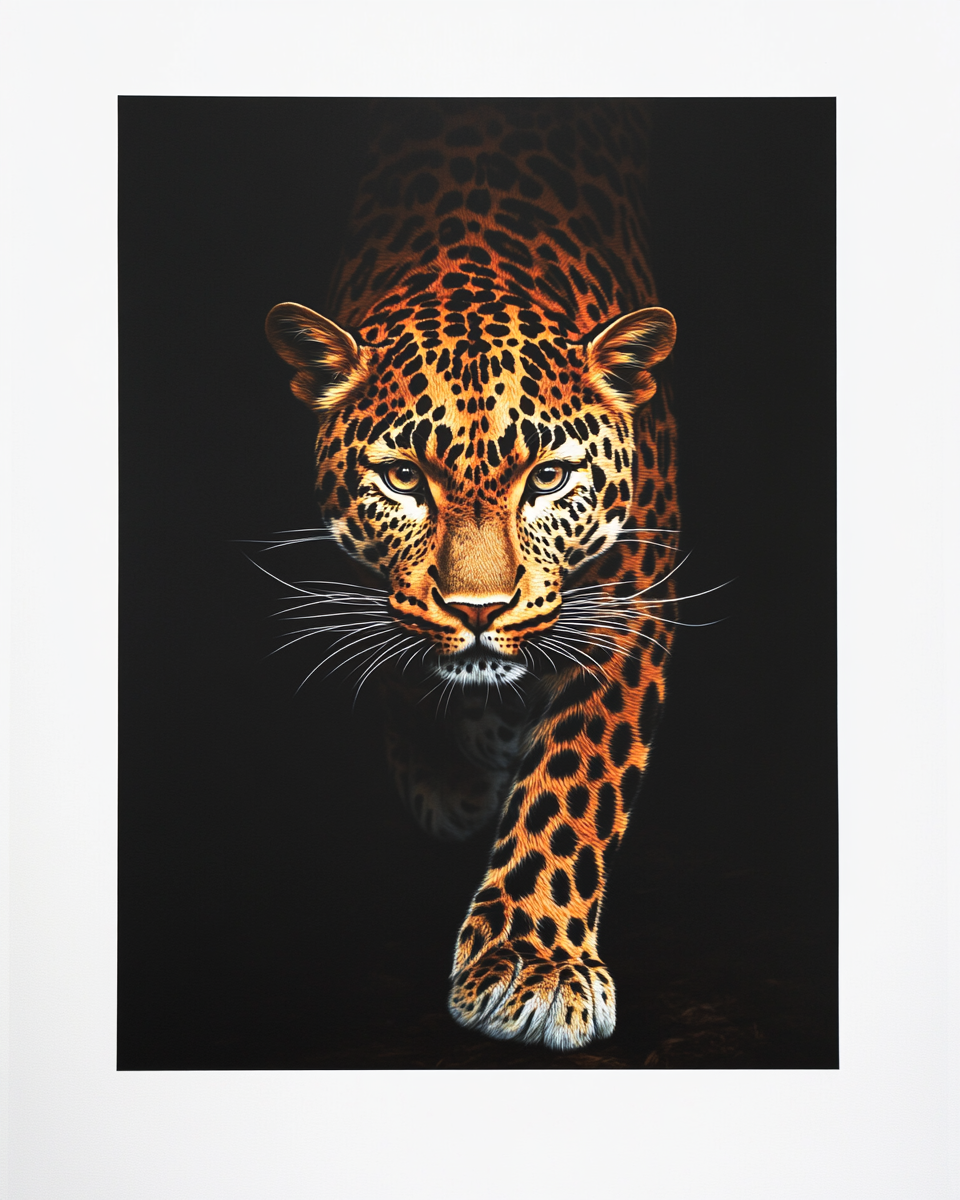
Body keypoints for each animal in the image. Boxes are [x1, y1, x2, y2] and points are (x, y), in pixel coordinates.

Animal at [265, 99, 680, 1051]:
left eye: (551, 478)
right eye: (403, 479)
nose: (480, 609)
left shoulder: (631, 598)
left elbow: (575, 774)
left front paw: (534, 963)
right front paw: (451, 774)